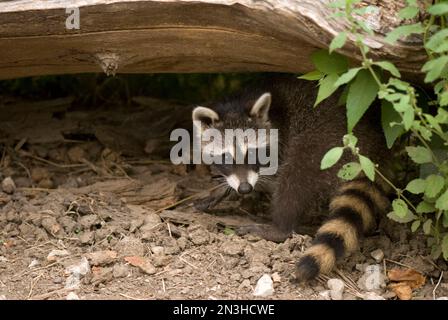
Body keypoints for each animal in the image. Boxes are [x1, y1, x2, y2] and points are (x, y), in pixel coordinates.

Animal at [192, 75, 392, 282]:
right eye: (226, 157)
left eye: (253, 153)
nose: (245, 188)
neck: (238, 102)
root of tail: (375, 148)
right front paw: (223, 189)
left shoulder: (281, 139)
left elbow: (271, 176)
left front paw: (231, 189)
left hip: (327, 146)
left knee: (295, 178)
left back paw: (279, 228)